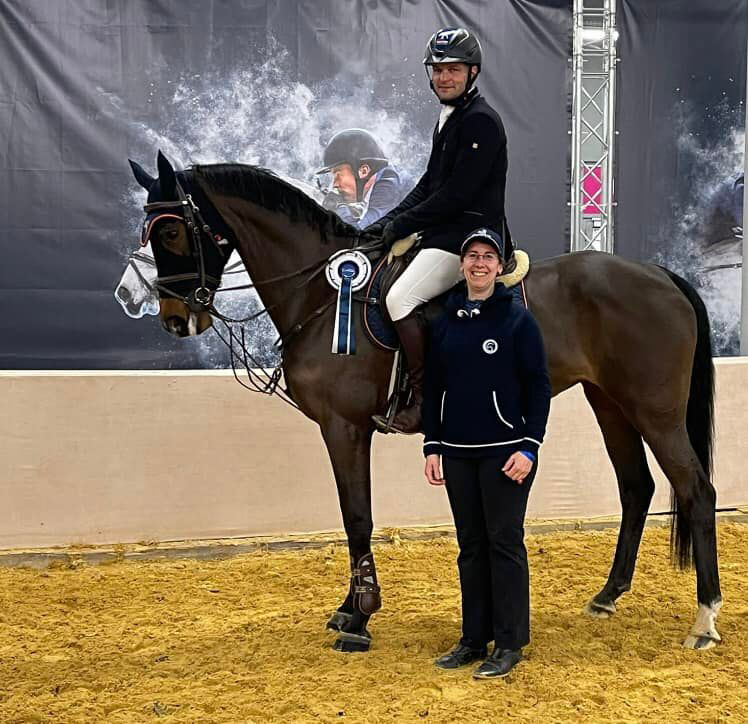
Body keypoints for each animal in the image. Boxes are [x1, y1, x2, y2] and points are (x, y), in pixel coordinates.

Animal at [125, 151, 720, 652]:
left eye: (172, 229)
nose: (175, 318)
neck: (323, 294)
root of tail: (660, 274)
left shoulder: (344, 427)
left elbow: (357, 516)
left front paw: (360, 617)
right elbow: (353, 517)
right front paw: (349, 609)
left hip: (655, 411)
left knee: (696, 489)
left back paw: (705, 619)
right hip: (610, 403)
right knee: (637, 487)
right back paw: (607, 596)